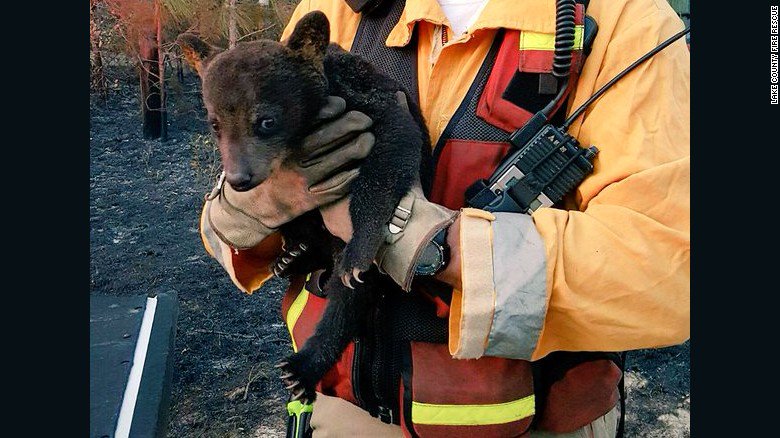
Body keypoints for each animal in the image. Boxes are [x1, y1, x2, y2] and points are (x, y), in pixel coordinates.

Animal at [177, 10, 433, 403]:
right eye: (215, 123)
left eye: (266, 121)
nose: (239, 179)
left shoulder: (371, 102)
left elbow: (394, 149)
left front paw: (359, 248)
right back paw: (293, 256)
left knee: (347, 301)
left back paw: (302, 367)